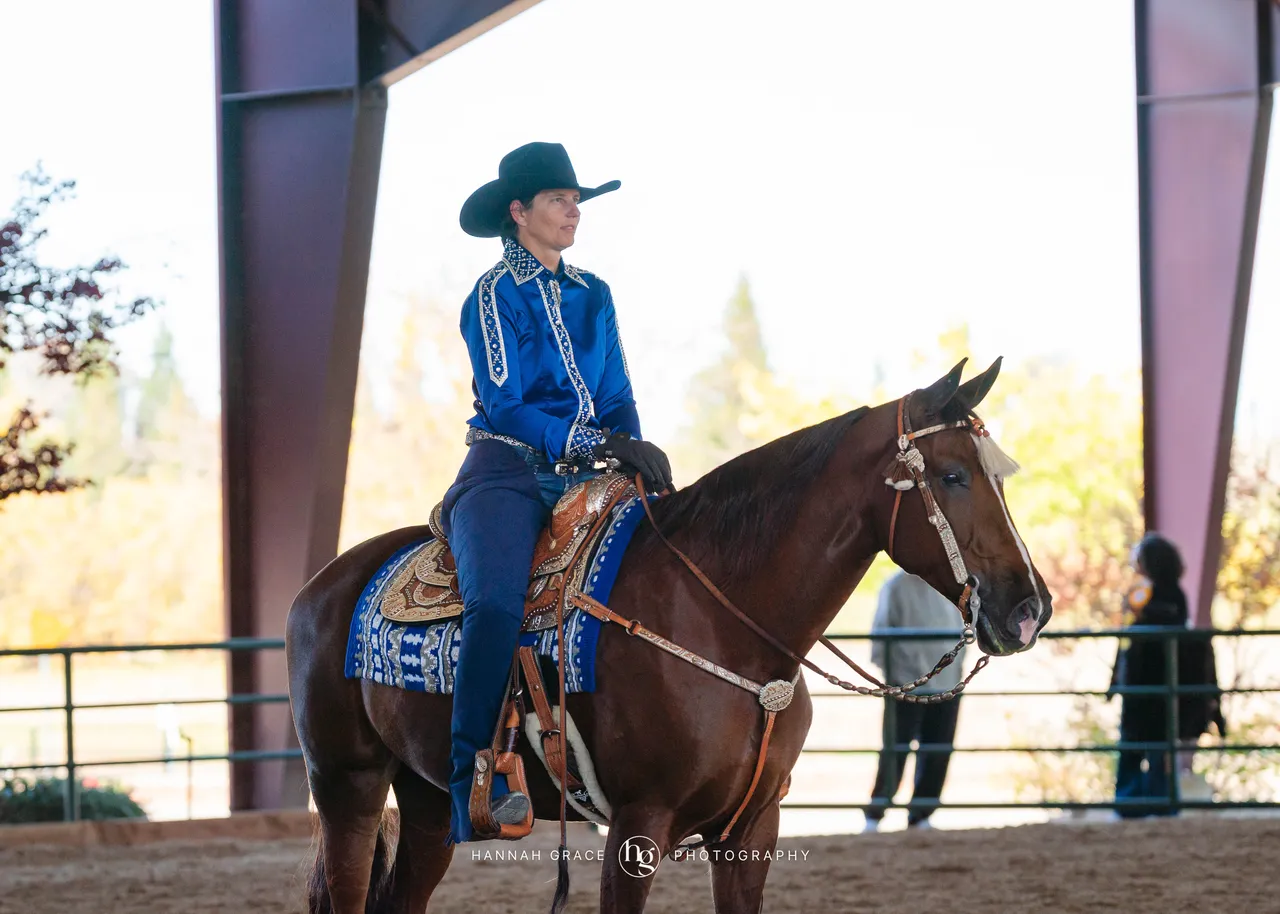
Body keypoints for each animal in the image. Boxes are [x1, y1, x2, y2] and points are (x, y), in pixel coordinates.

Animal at [286, 357, 1052, 914]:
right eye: (951, 476)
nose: (1030, 608)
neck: (725, 621)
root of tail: (321, 587)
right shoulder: (637, 825)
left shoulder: (753, 830)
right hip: (347, 785)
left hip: (423, 799)